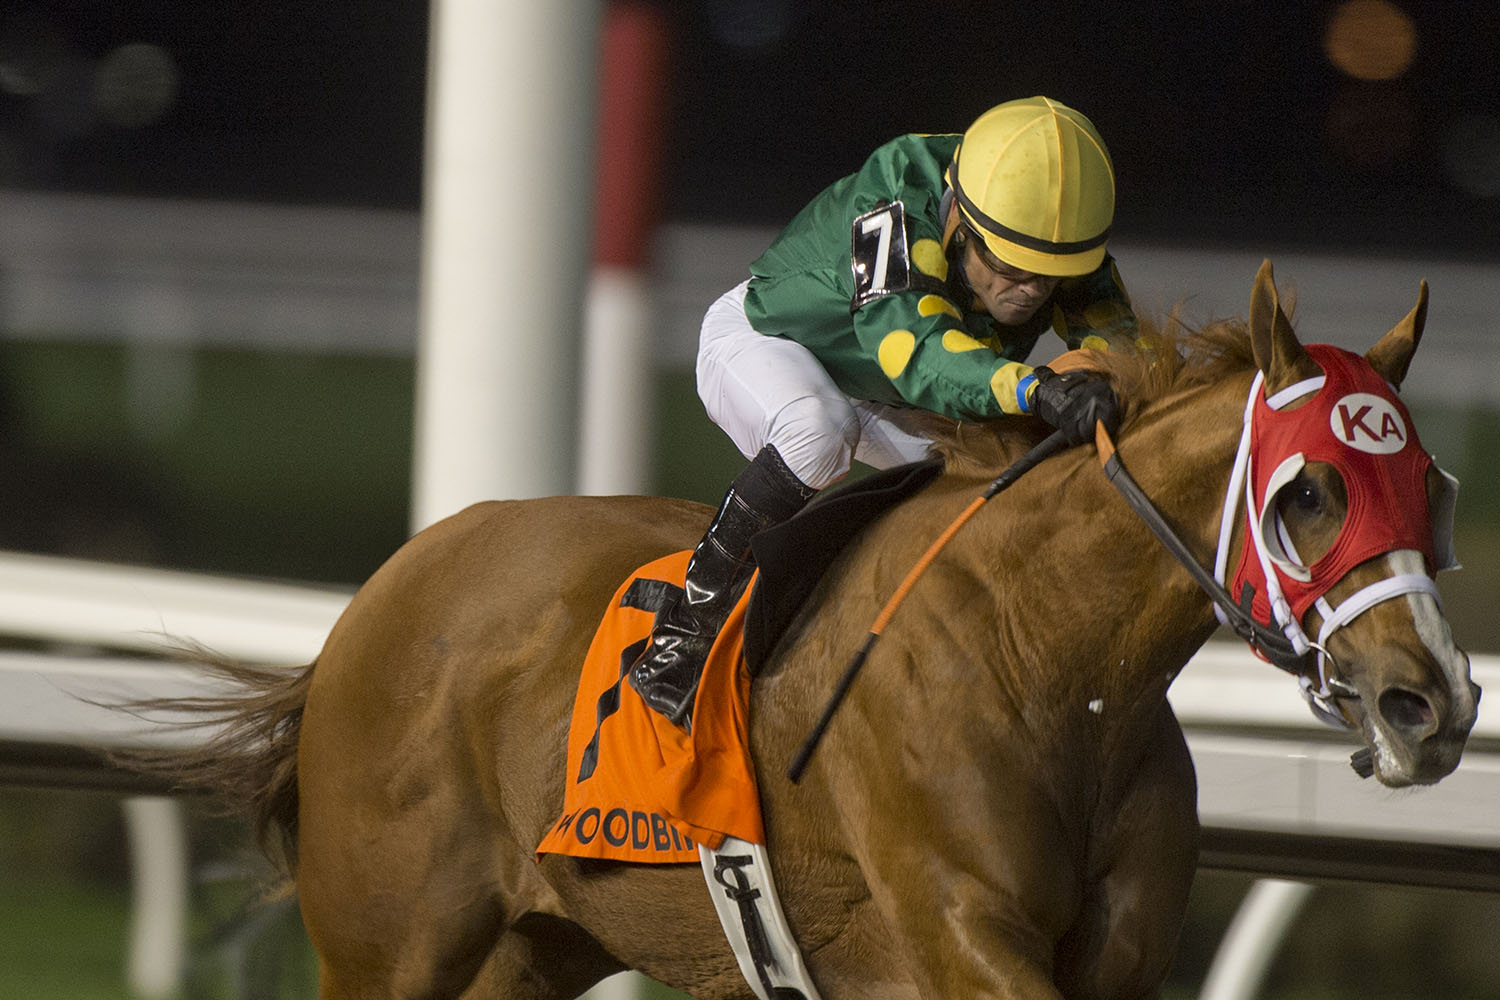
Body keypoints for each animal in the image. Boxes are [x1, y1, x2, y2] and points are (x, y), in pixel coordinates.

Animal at [155, 260, 1476, 1000]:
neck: (1051, 659)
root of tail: (377, 598)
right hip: (388, 950)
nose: (1433, 702)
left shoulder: (1115, 958)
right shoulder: (960, 936)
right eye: (1310, 493)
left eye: (1434, 486)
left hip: (532, 949)